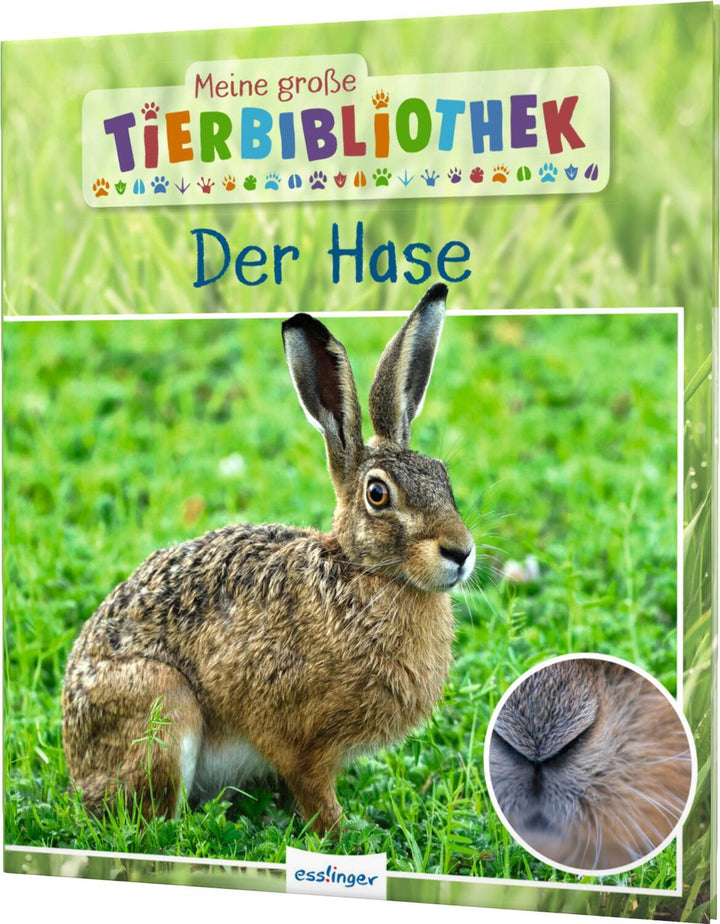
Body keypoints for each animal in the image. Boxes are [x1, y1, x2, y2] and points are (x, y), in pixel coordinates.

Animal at [62, 283, 476, 834]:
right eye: (378, 495)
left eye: (442, 476)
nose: (461, 551)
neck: (360, 573)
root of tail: (76, 761)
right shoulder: (300, 743)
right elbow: (317, 797)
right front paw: (343, 837)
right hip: (164, 705)